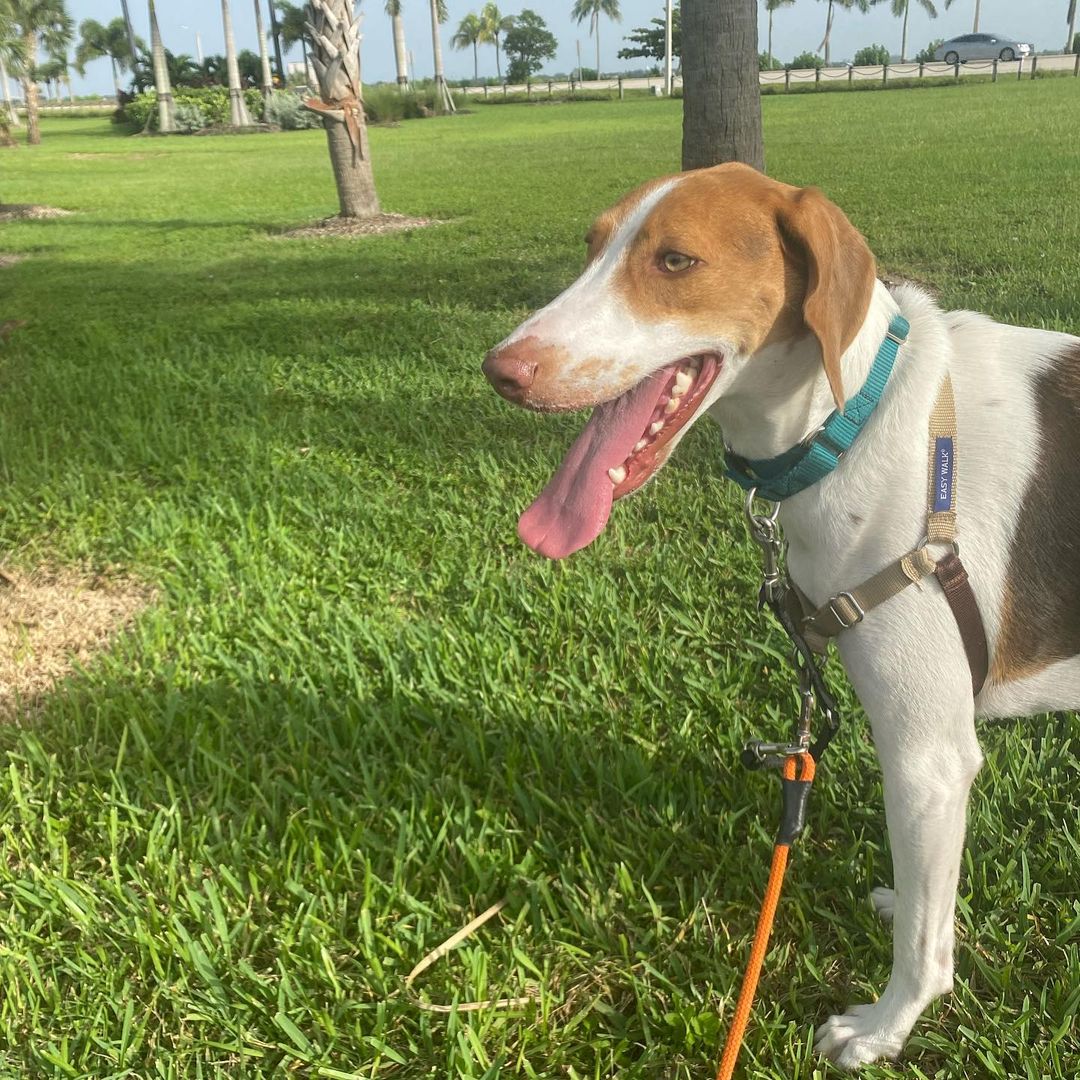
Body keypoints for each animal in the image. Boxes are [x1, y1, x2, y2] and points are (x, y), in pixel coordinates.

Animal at [481, 162, 1080, 1071]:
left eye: (676, 261)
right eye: (592, 246)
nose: (501, 371)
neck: (858, 417)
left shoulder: (930, 757)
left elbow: (925, 950)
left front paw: (886, 1027)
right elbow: (925, 901)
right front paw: (906, 904)